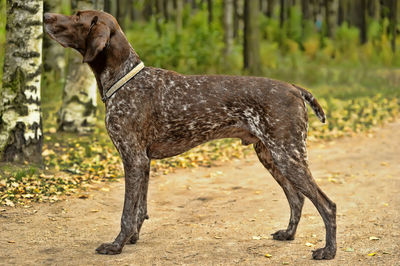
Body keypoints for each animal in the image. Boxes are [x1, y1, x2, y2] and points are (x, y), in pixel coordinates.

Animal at [43, 10, 336, 260]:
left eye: (77, 16)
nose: (45, 15)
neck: (125, 79)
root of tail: (294, 88)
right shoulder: (143, 161)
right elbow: (140, 209)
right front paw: (133, 239)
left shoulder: (133, 158)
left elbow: (127, 213)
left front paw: (117, 245)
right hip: (271, 156)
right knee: (297, 198)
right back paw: (289, 234)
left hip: (287, 155)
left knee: (327, 205)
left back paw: (328, 251)